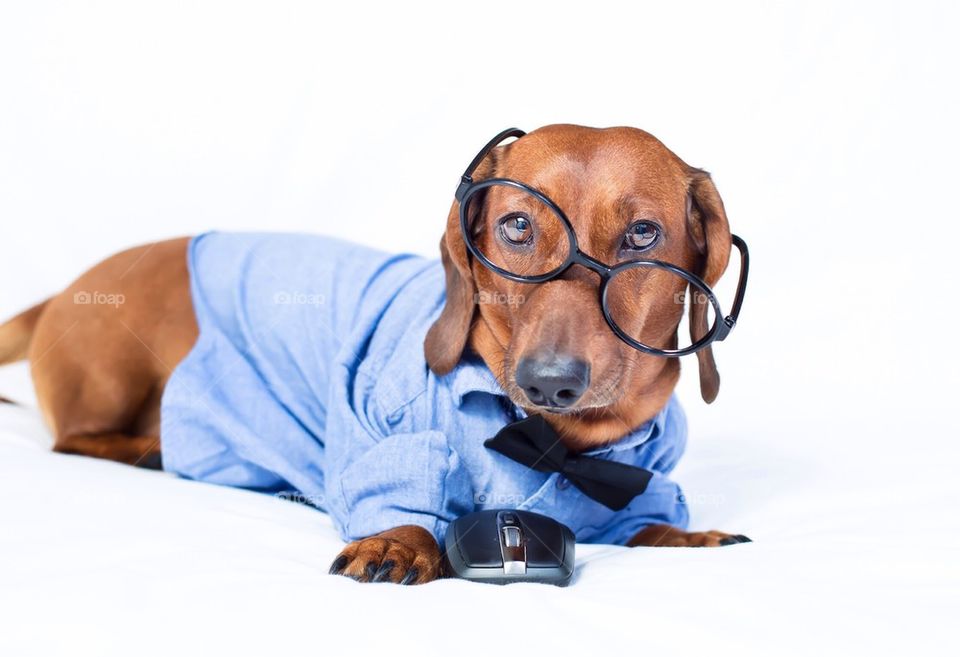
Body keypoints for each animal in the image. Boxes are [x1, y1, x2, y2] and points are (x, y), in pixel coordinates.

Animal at [0, 124, 752, 584]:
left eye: (643, 234)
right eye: (516, 225)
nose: (550, 382)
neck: (558, 442)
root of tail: (63, 292)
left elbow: (646, 518)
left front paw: (682, 536)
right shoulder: (378, 422)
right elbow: (396, 491)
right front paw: (397, 540)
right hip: (111, 377)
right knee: (76, 438)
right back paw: (148, 449)